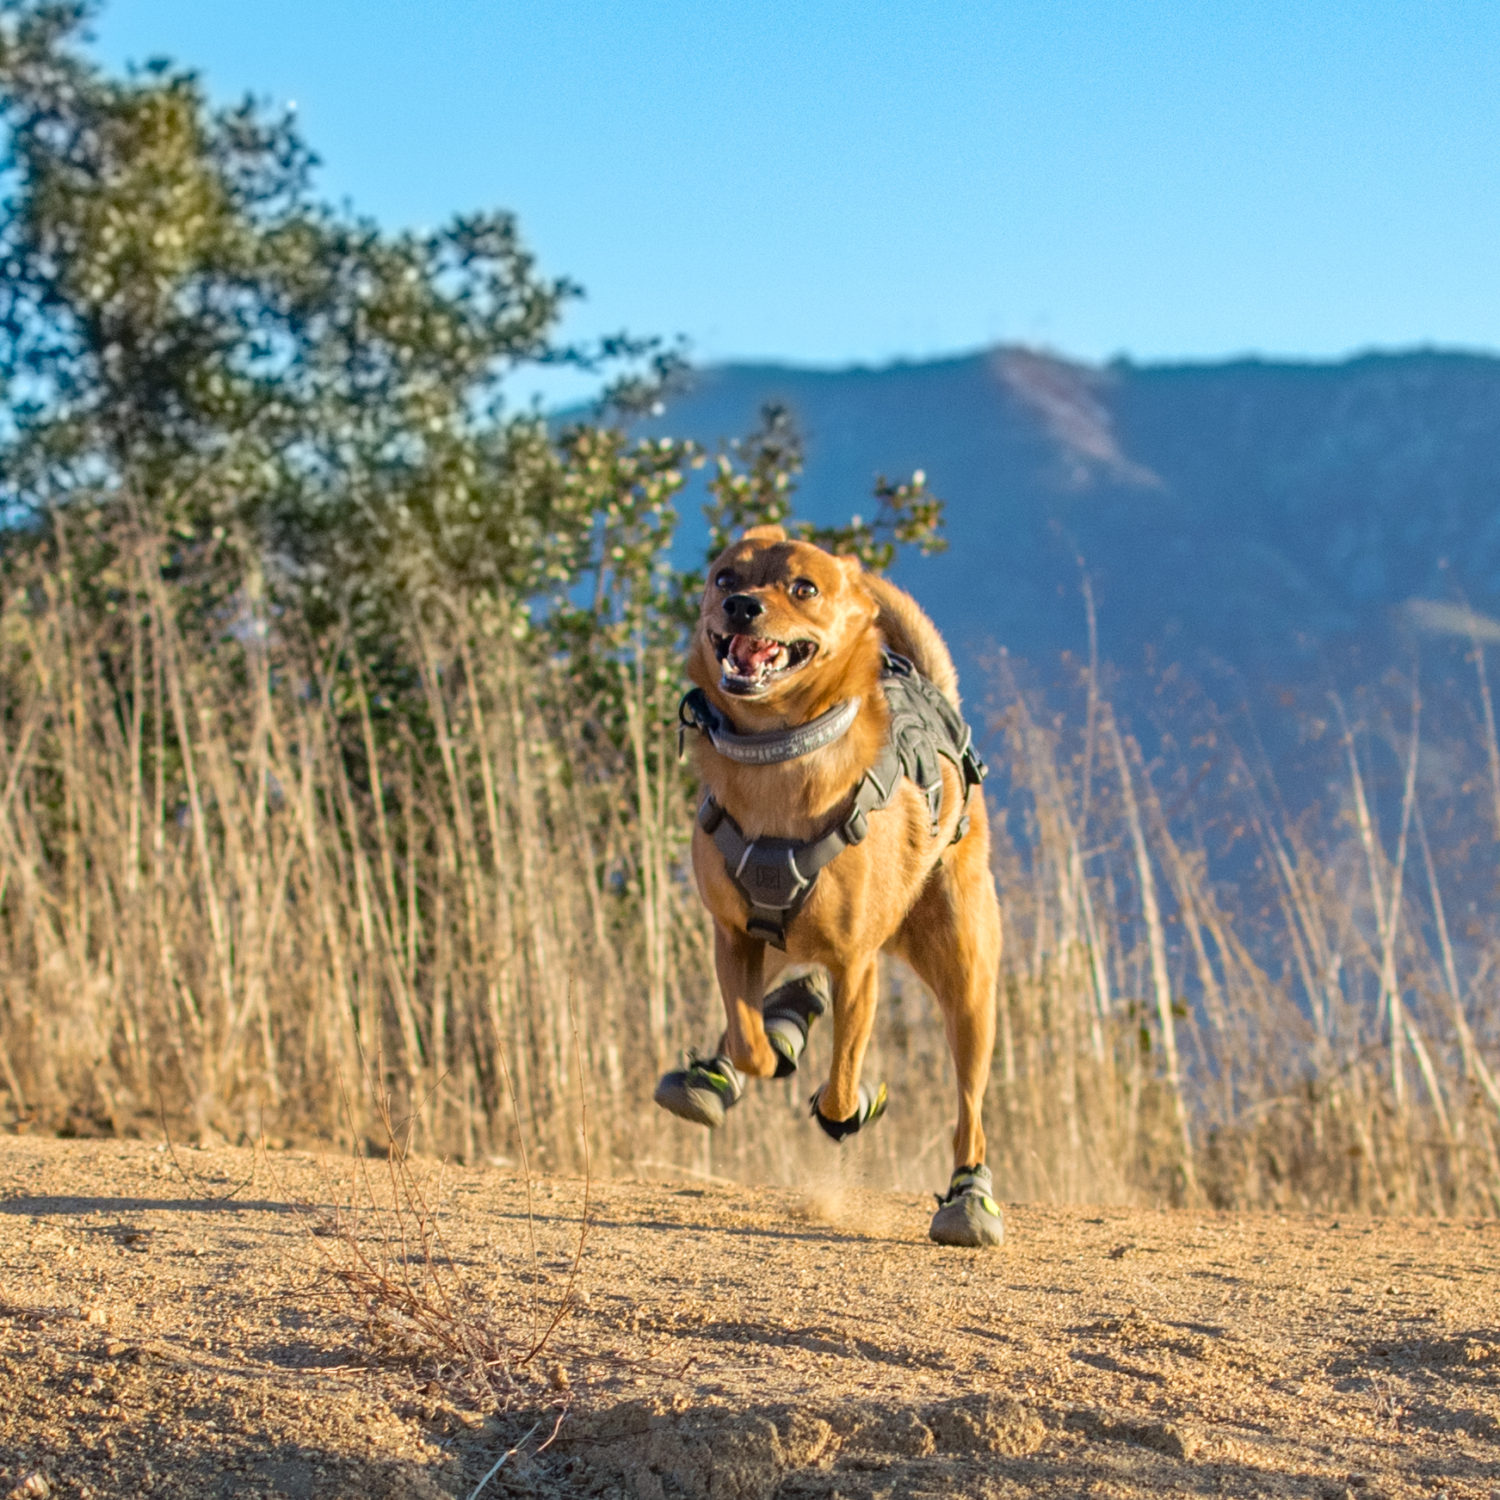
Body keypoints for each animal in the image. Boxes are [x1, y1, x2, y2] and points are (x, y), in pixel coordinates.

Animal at [657, 522, 1008, 1248]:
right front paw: (767, 1046)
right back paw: (770, 1033)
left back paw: (968, 1200)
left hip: (966, 980)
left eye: (803, 589)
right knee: (774, 1000)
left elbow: (843, 1082)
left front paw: (848, 1108)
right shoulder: (732, 935)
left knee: (970, 1106)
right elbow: (748, 1041)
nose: (741, 608)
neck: (777, 757)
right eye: (726, 577)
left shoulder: (857, 965)